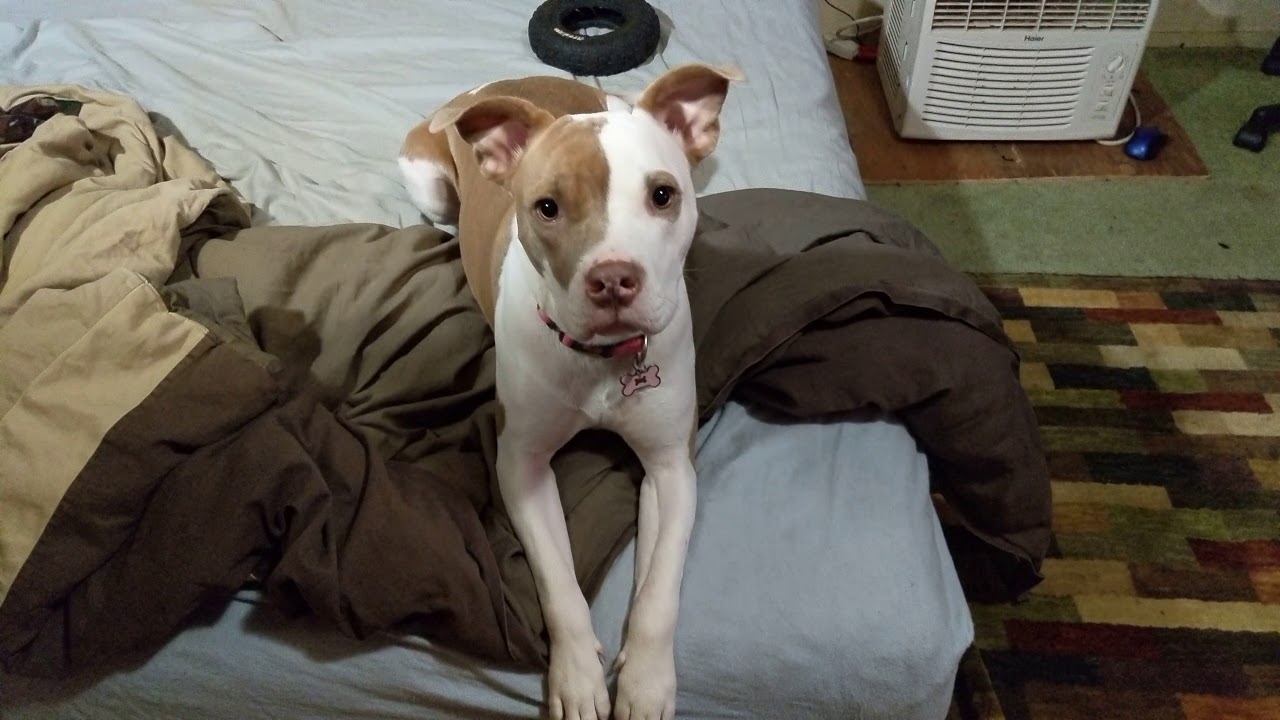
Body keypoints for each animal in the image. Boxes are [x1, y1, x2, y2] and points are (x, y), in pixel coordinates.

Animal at [398, 63, 741, 720]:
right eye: (547, 207)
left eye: (663, 195)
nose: (613, 279)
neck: (604, 362)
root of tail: (493, 87)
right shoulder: (522, 465)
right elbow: (557, 583)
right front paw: (580, 675)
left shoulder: (671, 466)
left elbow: (660, 586)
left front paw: (646, 682)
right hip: (426, 180)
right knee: (441, 215)